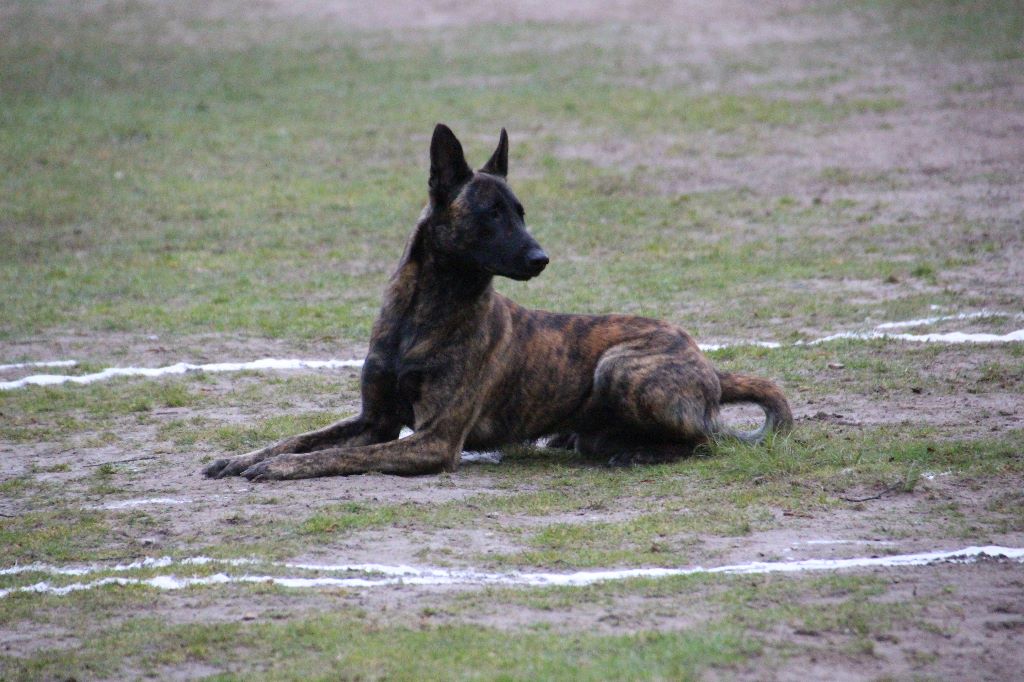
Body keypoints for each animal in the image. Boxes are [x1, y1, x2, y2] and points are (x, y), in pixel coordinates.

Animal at [199, 124, 790, 481]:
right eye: (491, 213)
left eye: (521, 212)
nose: (541, 258)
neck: (423, 312)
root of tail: (706, 362)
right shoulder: (376, 419)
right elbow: (300, 439)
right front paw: (243, 457)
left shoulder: (433, 441)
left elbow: (342, 455)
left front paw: (278, 470)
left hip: (620, 367)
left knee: (706, 440)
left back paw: (638, 449)